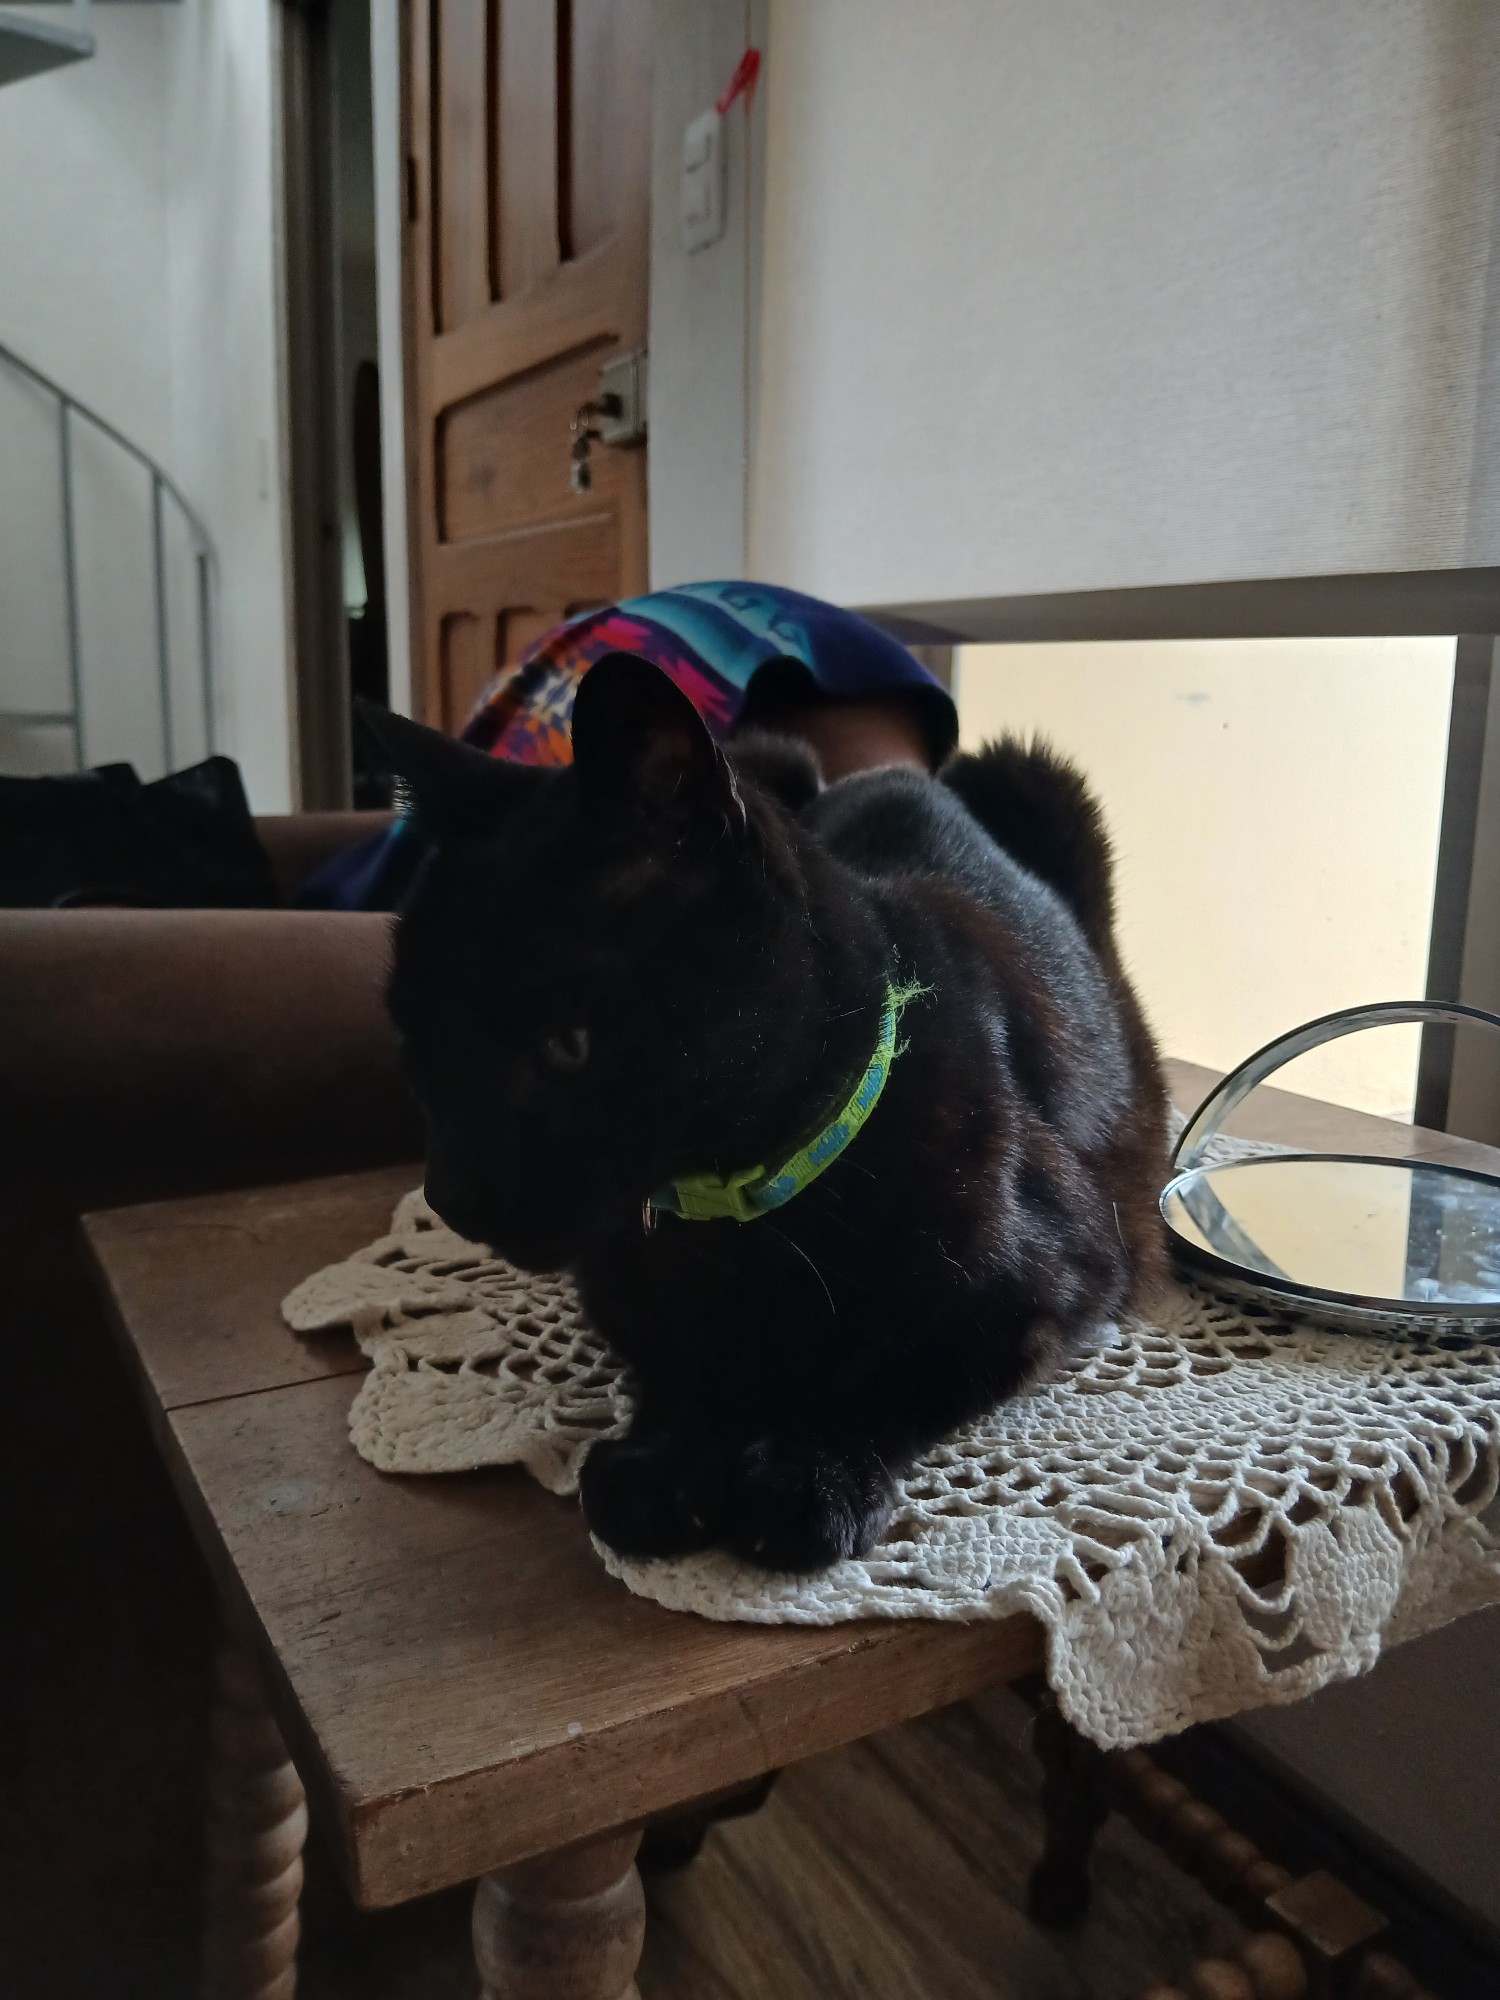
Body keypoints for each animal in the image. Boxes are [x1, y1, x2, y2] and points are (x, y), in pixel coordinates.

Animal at [361, 656, 1168, 1573]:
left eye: (566, 1045)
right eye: (414, 1040)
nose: (449, 1193)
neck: (741, 1223)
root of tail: (905, 774)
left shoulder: (1053, 1285)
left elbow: (894, 1372)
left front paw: (810, 1476)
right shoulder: (625, 1293)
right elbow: (679, 1362)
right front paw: (663, 1461)